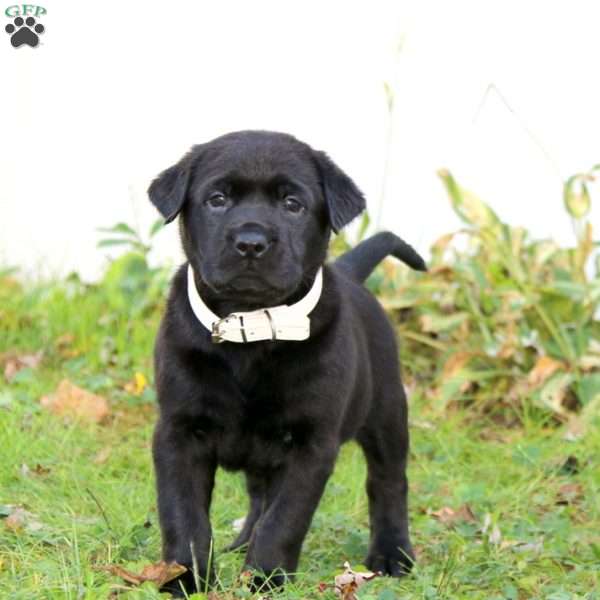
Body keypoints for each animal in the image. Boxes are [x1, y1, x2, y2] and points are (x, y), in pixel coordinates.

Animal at [147, 131, 424, 596]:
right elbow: (183, 514)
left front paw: (265, 577)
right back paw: (241, 544)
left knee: (387, 482)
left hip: (387, 413)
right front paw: (185, 577)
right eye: (217, 199)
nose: (251, 242)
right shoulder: (178, 432)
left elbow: (285, 518)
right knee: (259, 495)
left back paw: (392, 554)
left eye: (292, 204)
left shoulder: (310, 445)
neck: (251, 329)